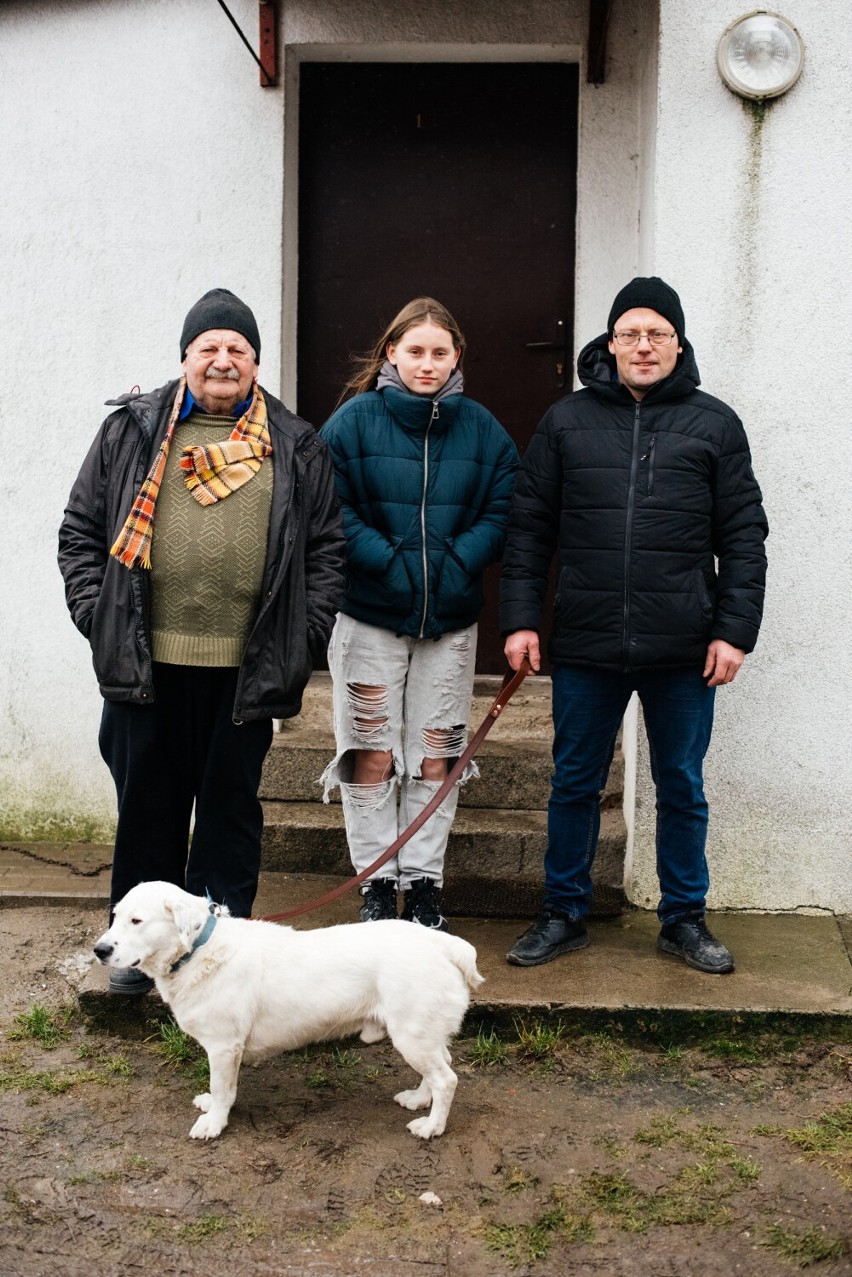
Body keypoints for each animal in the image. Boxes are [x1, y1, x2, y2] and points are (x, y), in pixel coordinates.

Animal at [93, 883, 482, 1144]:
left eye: (137, 920)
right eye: (115, 917)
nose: (99, 950)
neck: (199, 949)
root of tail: (443, 943)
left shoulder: (223, 1047)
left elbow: (222, 1088)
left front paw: (215, 1122)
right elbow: (220, 1090)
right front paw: (211, 1107)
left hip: (411, 1033)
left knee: (447, 1079)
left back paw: (432, 1126)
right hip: (424, 1033)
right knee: (440, 1068)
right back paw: (419, 1100)